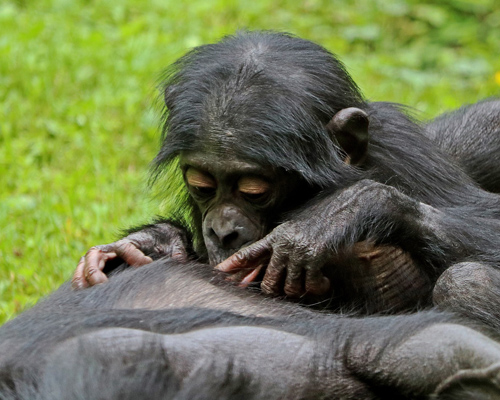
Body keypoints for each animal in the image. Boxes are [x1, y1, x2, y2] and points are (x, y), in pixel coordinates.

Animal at [71, 30, 500, 318]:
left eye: (255, 192)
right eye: (202, 185)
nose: (222, 231)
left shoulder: (405, 154)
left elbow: (485, 218)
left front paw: (336, 217)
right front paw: (152, 241)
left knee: (464, 283)